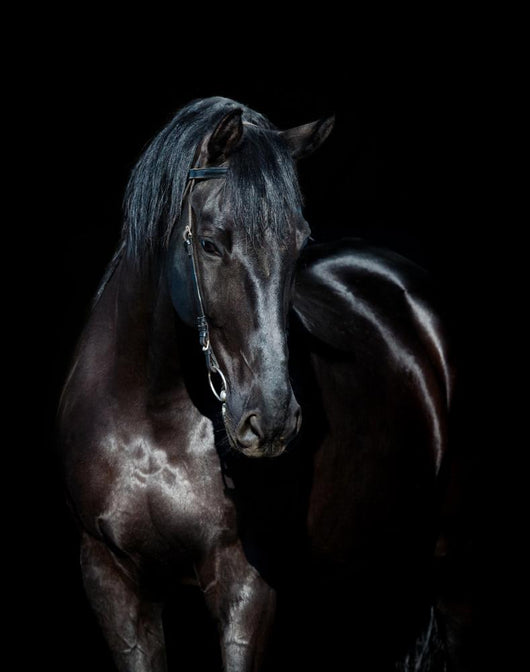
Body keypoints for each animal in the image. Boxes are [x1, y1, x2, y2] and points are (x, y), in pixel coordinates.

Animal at [57, 96, 455, 671]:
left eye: (299, 243)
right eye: (208, 243)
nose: (270, 421)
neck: (152, 418)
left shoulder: (245, 583)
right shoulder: (112, 580)